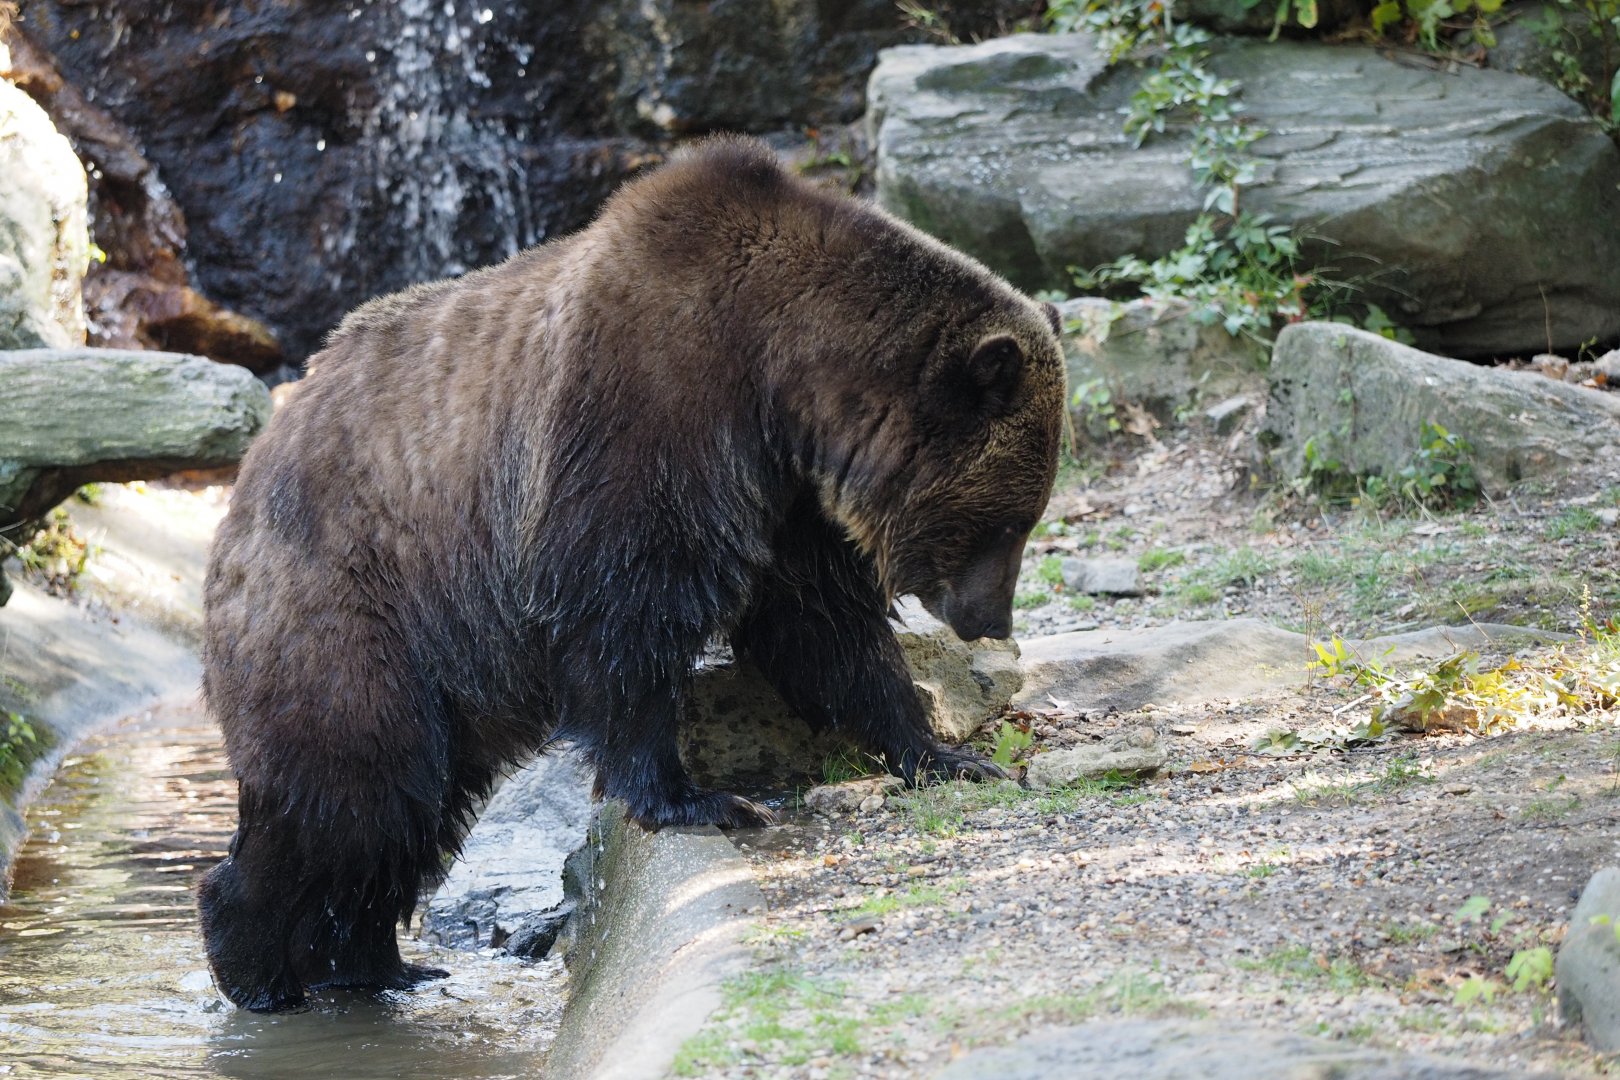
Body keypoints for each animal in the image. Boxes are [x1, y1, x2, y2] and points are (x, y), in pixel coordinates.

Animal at [197, 135, 1067, 1012]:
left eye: (1026, 517)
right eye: (1005, 524)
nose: (992, 619)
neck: (780, 374)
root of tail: (252, 469)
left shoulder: (785, 497)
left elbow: (825, 628)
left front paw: (944, 753)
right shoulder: (645, 412)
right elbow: (627, 614)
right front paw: (696, 798)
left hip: (444, 669)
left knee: (411, 813)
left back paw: (378, 966)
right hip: (356, 603)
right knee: (358, 783)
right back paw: (256, 964)